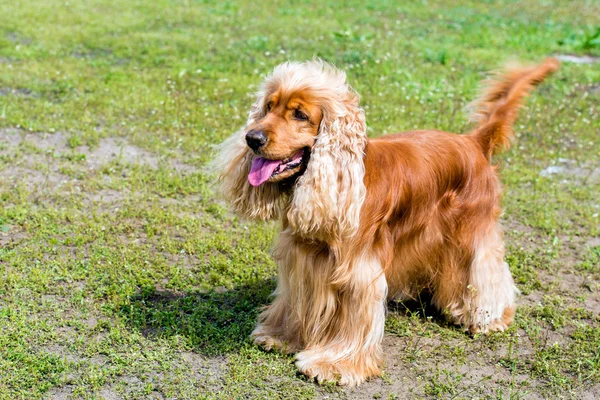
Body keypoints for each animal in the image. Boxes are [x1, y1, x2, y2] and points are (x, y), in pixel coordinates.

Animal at [214, 58, 556, 384]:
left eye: (300, 115)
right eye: (269, 107)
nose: (252, 137)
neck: (340, 175)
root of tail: (473, 142)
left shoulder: (358, 271)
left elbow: (354, 321)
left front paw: (334, 364)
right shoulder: (302, 258)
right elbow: (296, 301)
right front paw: (281, 336)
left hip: (473, 232)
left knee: (487, 271)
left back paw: (487, 317)